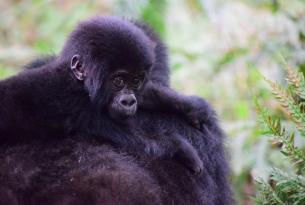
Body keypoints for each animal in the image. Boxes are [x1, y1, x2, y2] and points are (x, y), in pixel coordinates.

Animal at [0, 15, 211, 173]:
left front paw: (191, 106)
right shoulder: (78, 106)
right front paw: (181, 148)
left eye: (136, 81)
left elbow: (147, 95)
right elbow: (138, 140)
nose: (129, 101)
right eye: (118, 81)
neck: (78, 82)